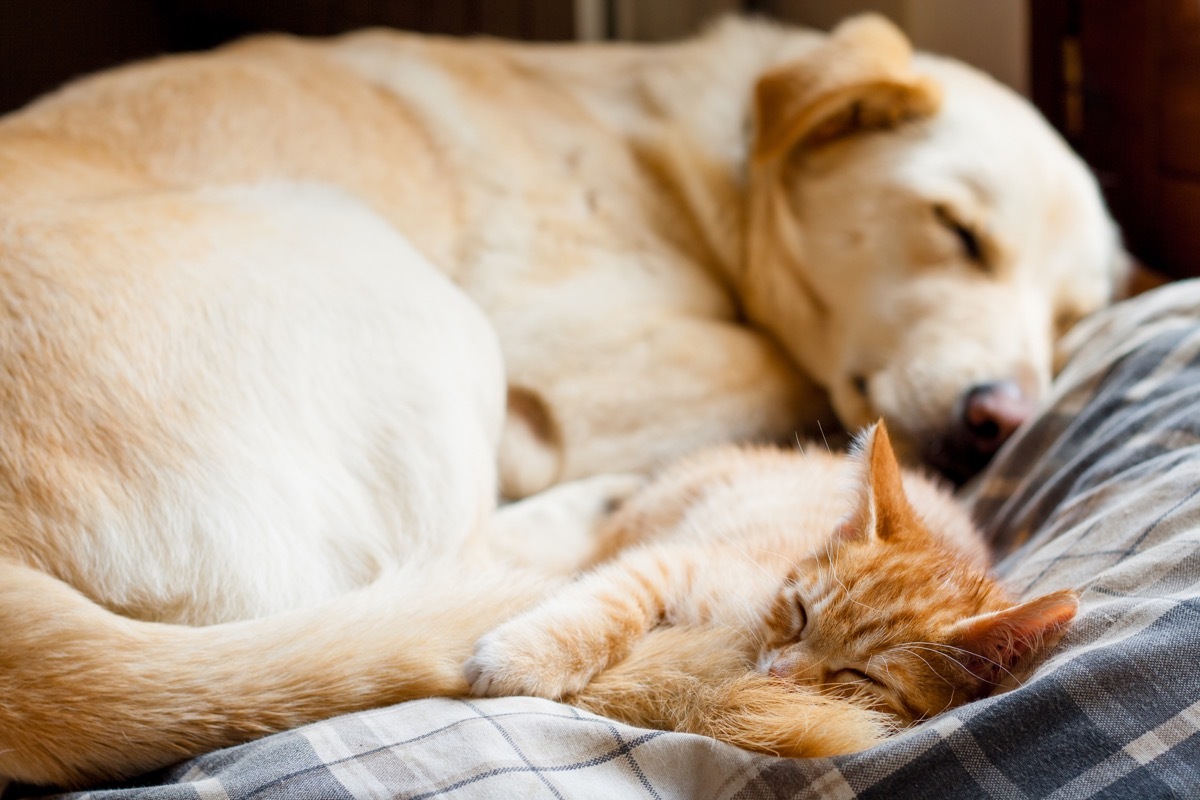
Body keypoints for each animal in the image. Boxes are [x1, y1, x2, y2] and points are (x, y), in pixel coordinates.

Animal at [465, 422, 1080, 762]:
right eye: (802, 613)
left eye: (862, 678)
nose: (779, 674)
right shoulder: (677, 559)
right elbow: (612, 599)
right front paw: (525, 656)